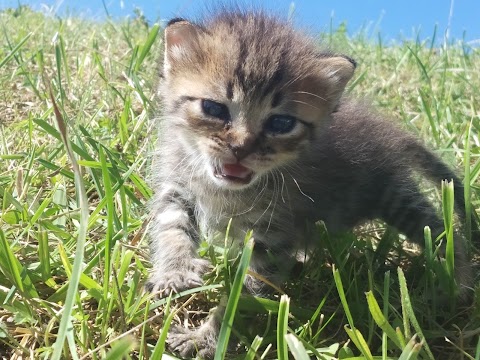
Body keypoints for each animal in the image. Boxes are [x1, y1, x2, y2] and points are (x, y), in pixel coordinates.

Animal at [147, 10, 476, 358]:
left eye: (281, 123)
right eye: (214, 108)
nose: (240, 148)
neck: (226, 191)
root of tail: (392, 133)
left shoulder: (271, 239)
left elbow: (245, 294)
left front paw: (209, 337)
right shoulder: (177, 188)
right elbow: (171, 228)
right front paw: (174, 271)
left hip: (396, 198)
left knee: (441, 230)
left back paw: (459, 283)